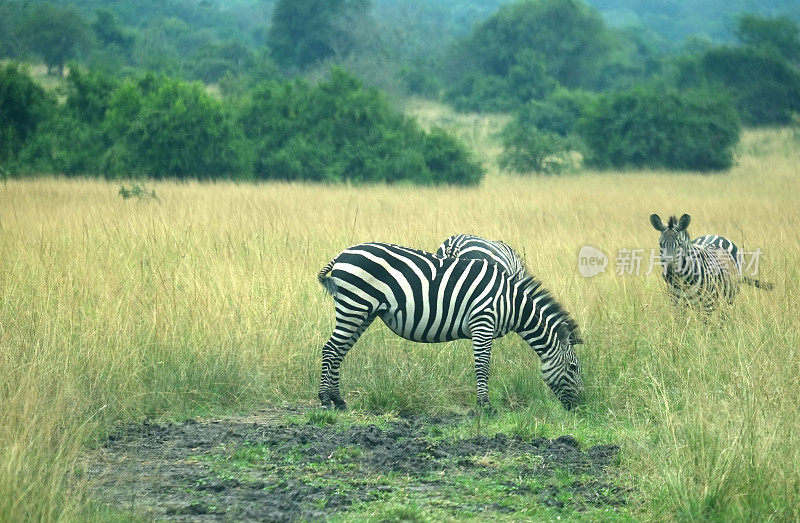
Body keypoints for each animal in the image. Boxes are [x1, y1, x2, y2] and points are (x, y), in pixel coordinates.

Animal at [316, 244, 584, 412]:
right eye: (573, 368)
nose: (580, 407)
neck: (511, 303)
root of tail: (342, 254)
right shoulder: (483, 323)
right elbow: (483, 367)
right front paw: (485, 406)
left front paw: (484, 404)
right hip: (354, 306)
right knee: (330, 349)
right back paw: (324, 400)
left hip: (363, 312)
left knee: (339, 352)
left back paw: (339, 400)